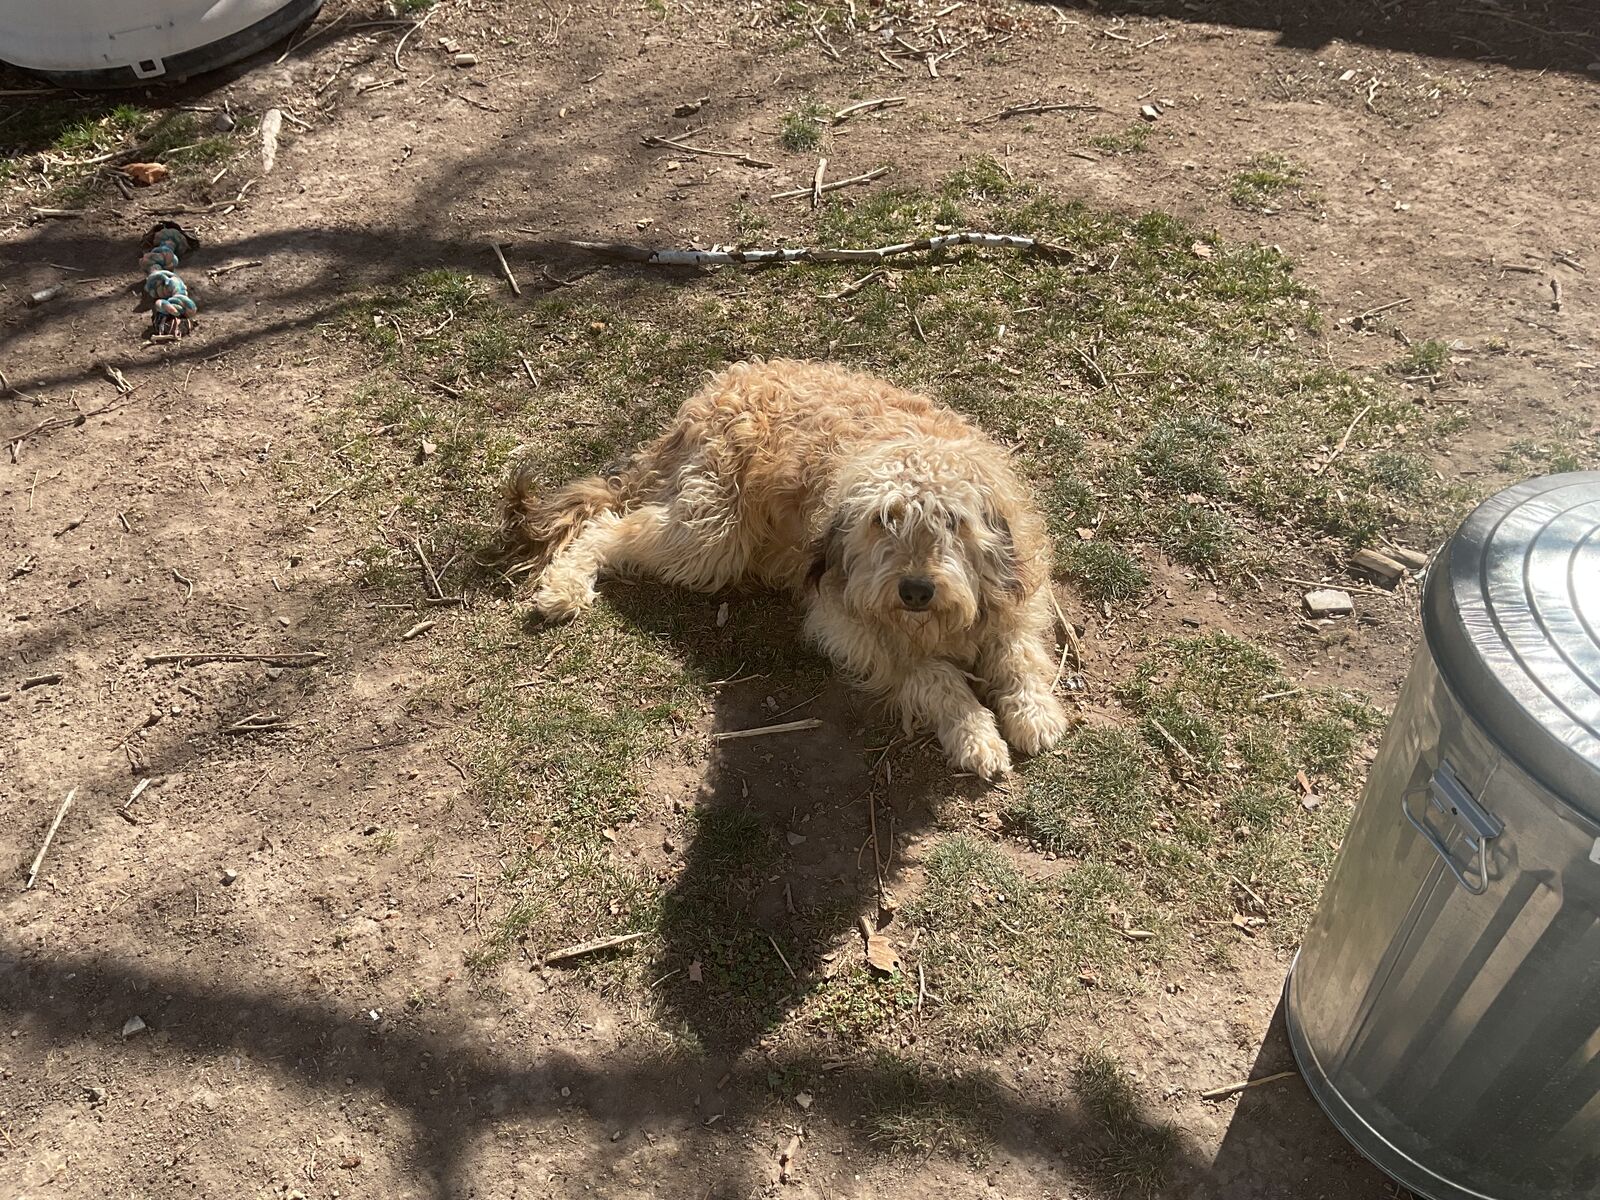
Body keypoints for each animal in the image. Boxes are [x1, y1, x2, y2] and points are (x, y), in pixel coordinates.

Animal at [503, 359, 1072, 778]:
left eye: (952, 521)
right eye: (882, 520)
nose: (915, 591)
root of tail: (712, 391)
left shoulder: (1016, 597)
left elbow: (1019, 655)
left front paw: (1035, 713)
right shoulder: (846, 620)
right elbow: (931, 673)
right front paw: (974, 732)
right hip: (711, 535)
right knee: (604, 526)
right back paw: (564, 585)